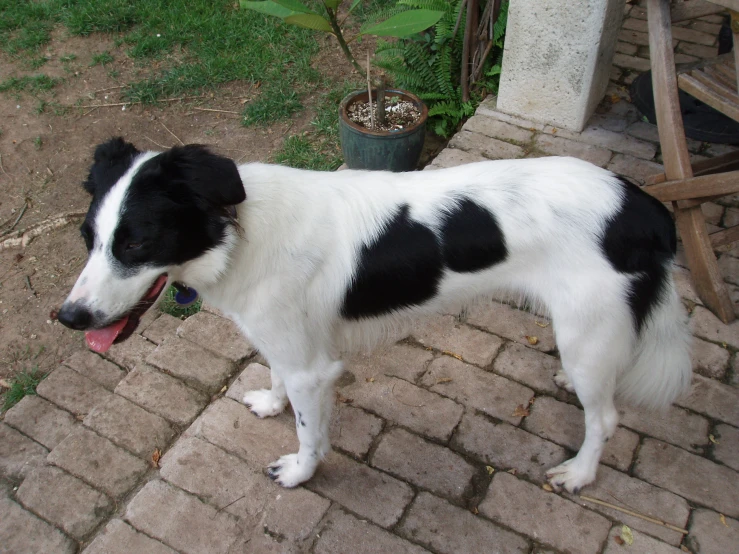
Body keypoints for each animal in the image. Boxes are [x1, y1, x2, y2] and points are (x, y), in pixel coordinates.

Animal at [59, 138, 692, 492]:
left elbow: (309, 433)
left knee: (605, 417)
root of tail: (643, 204)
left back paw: (581, 474)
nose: (68, 317)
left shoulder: (314, 369)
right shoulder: (284, 344)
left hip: (587, 332)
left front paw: (300, 473)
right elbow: (275, 378)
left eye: (136, 244)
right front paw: (270, 403)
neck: (239, 232)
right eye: (88, 239)